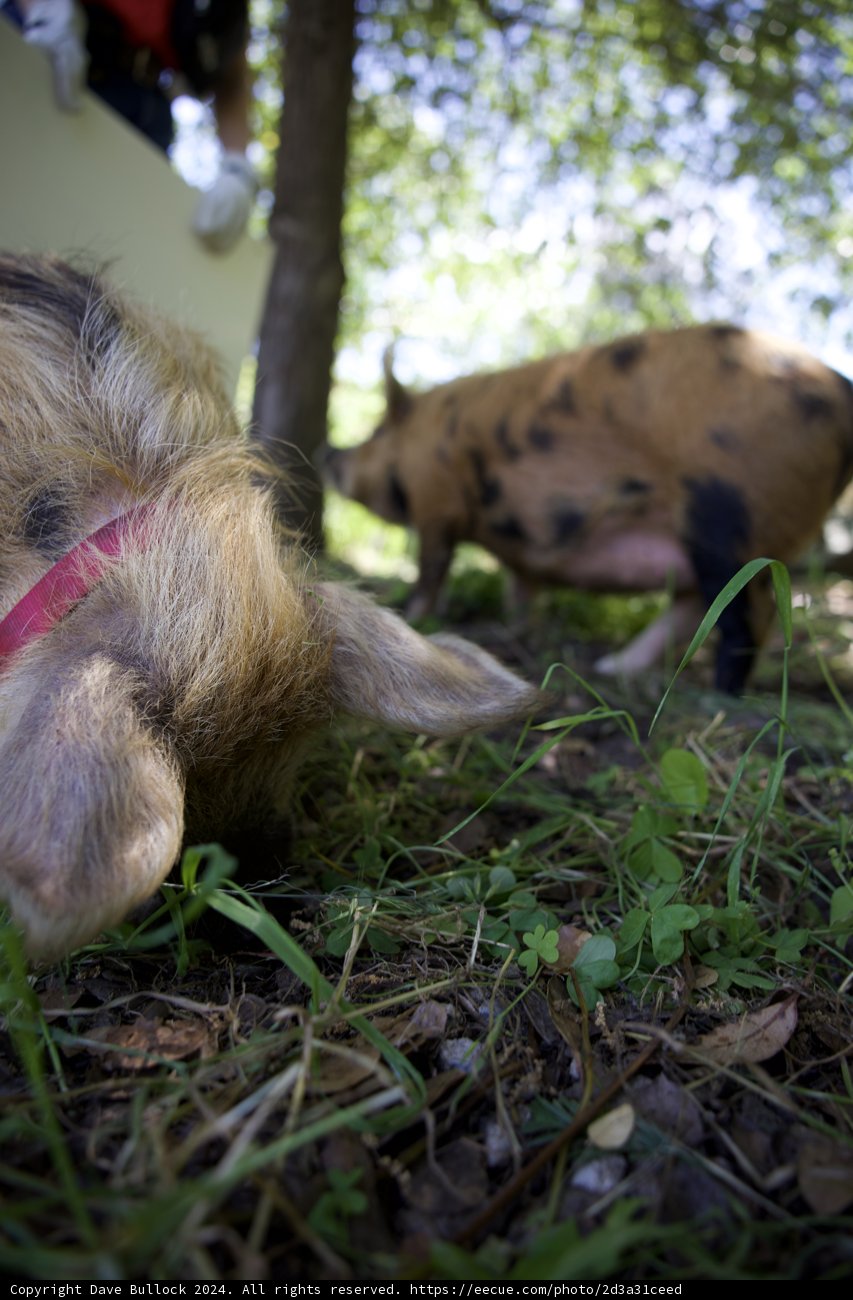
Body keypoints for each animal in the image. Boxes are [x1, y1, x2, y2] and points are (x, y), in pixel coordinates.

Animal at [323, 328, 853, 692]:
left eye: (375, 432)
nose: (331, 451)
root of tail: (839, 385)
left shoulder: (437, 502)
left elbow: (432, 567)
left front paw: (411, 612)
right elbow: (521, 587)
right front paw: (515, 628)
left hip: (729, 517)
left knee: (748, 614)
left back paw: (719, 695)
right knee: (693, 607)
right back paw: (612, 668)